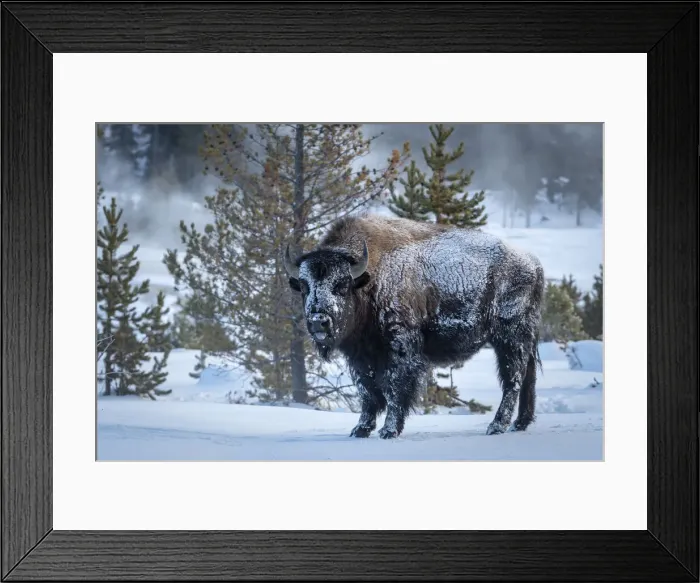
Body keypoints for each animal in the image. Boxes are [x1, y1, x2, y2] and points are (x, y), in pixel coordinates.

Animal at [284, 214, 545, 439]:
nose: (318, 320)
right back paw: (520, 423)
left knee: (513, 379)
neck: (369, 279)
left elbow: (394, 389)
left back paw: (497, 426)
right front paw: (360, 429)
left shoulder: (400, 350)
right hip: (523, 339)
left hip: (510, 338)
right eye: (304, 287)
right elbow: (367, 392)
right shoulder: (359, 357)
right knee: (528, 376)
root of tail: (533, 264)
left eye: (341, 285)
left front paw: (389, 430)